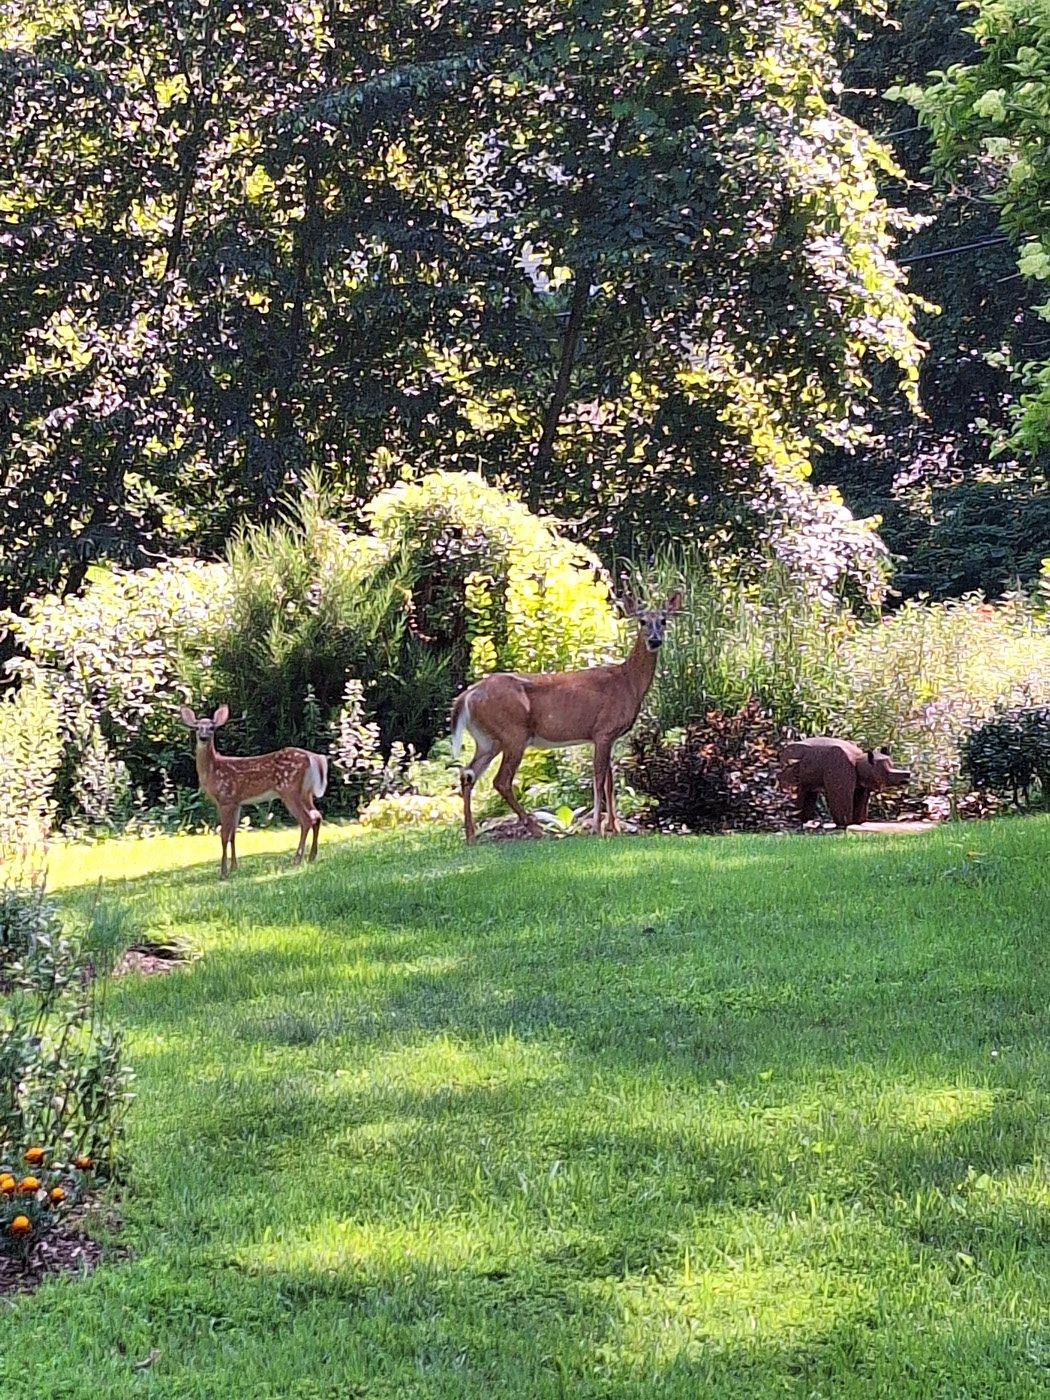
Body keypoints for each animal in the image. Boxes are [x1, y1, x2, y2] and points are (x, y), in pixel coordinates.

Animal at [179, 705, 329, 879]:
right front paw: (234, 867)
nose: (203, 737)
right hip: (306, 792)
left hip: (289, 789)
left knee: (306, 820)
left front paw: (223, 873)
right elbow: (233, 834)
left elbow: (224, 835)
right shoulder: (236, 802)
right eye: (197, 728)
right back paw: (312, 857)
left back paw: (297, 859)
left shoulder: (226, 798)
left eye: (212, 728)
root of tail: (313, 757)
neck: (212, 771)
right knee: (317, 816)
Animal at [449, 592, 681, 844]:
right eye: (642, 621)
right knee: (500, 780)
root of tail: (467, 696)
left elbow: (609, 782)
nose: (655, 641)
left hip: (487, 739)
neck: (627, 682)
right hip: (513, 733)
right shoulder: (603, 731)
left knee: (468, 774)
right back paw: (536, 830)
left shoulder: (609, 737)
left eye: (663, 620)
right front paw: (596, 829)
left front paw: (615, 829)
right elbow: (599, 779)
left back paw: (471, 837)